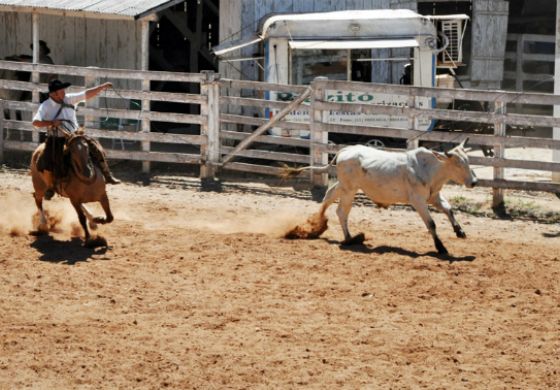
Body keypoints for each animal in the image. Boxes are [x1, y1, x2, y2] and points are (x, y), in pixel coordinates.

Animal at [294, 139, 476, 254]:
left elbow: (448, 209)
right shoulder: (418, 201)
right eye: (458, 163)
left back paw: (318, 222)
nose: (474, 182)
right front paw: (441, 248)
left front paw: (459, 231)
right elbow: (431, 224)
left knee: (329, 196)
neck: (430, 168)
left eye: (468, 160)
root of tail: (346, 150)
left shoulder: (434, 196)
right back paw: (348, 238)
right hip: (349, 189)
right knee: (341, 211)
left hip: (345, 186)